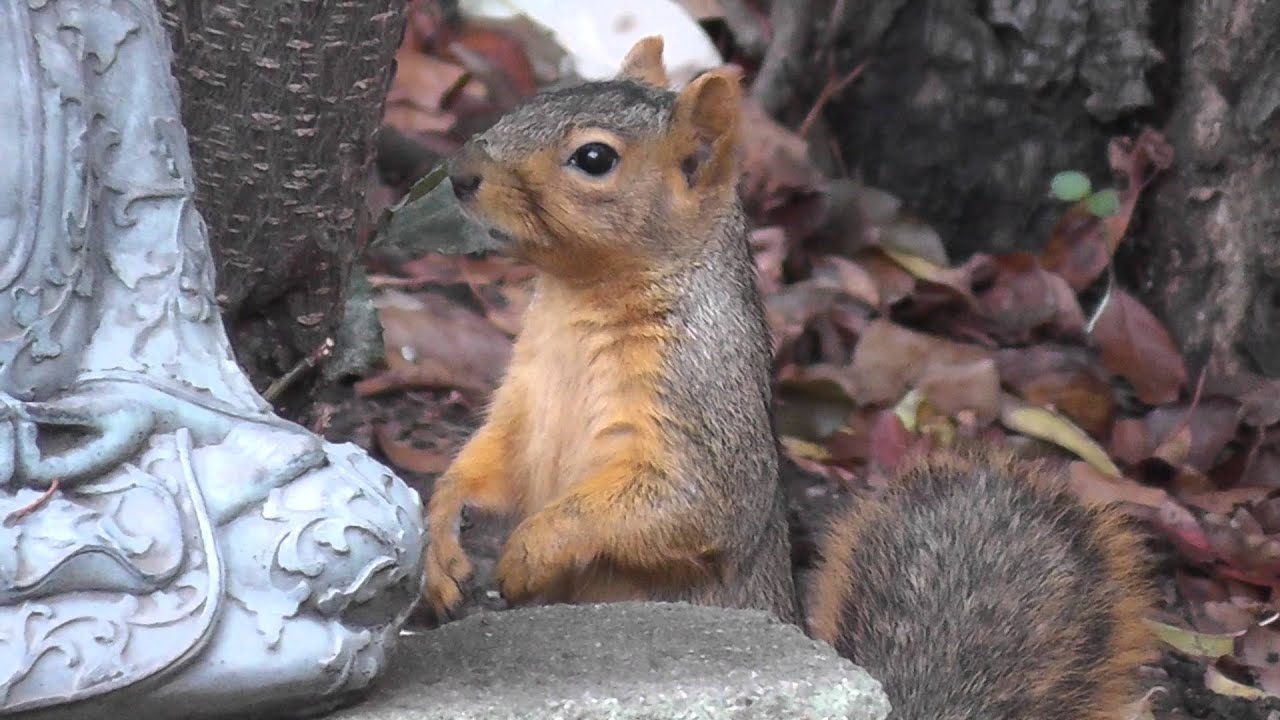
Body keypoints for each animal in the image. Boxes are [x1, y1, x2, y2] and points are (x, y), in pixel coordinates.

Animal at [422, 35, 1155, 719]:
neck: (580, 302)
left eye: (595, 159)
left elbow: (686, 504)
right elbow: (490, 461)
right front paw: (439, 542)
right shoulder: (524, 398)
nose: (459, 172)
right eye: (540, 96)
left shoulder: (702, 399)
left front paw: (530, 546)